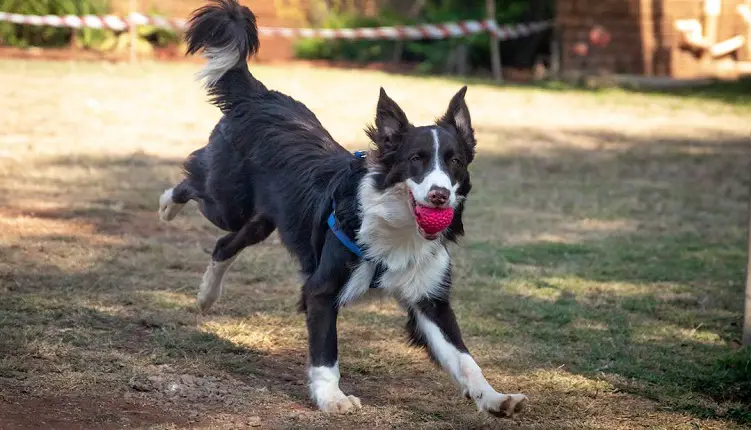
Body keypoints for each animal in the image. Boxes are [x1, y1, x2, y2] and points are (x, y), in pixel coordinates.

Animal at [160, 0, 528, 416]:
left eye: (455, 162)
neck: (397, 228)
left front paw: (494, 398)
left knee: (225, 244)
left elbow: (464, 360)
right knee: (193, 182)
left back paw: (206, 297)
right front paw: (331, 397)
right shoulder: (321, 289)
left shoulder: (429, 300)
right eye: (415, 159)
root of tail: (259, 96)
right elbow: (326, 352)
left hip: (263, 219)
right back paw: (167, 207)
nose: (439, 196)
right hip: (227, 201)